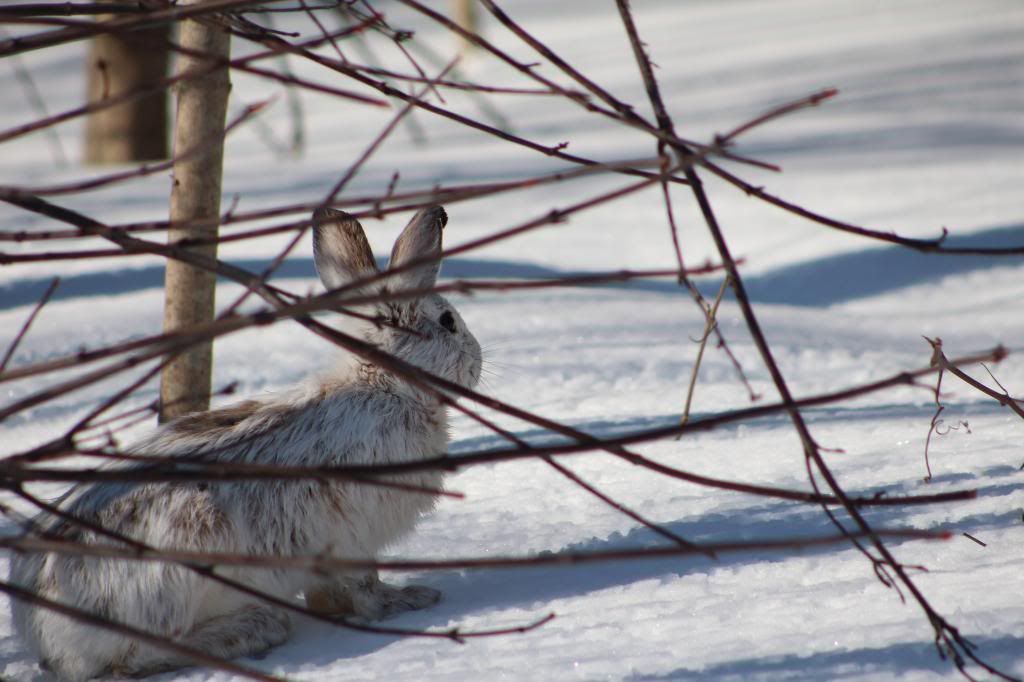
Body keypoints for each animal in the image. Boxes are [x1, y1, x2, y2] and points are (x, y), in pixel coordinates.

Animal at [8, 205, 482, 680]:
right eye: (448, 322)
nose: (478, 362)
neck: (386, 385)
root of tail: (45, 636)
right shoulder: (353, 536)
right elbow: (366, 586)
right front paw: (406, 601)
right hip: (180, 565)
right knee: (134, 658)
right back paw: (254, 629)